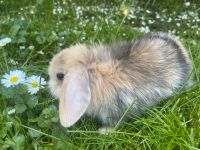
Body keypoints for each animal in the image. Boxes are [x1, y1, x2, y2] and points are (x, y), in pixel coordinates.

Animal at [48, 31, 192, 134]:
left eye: (59, 76)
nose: (49, 86)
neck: (92, 71)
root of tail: (181, 50)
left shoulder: (113, 110)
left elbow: (116, 123)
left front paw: (104, 132)